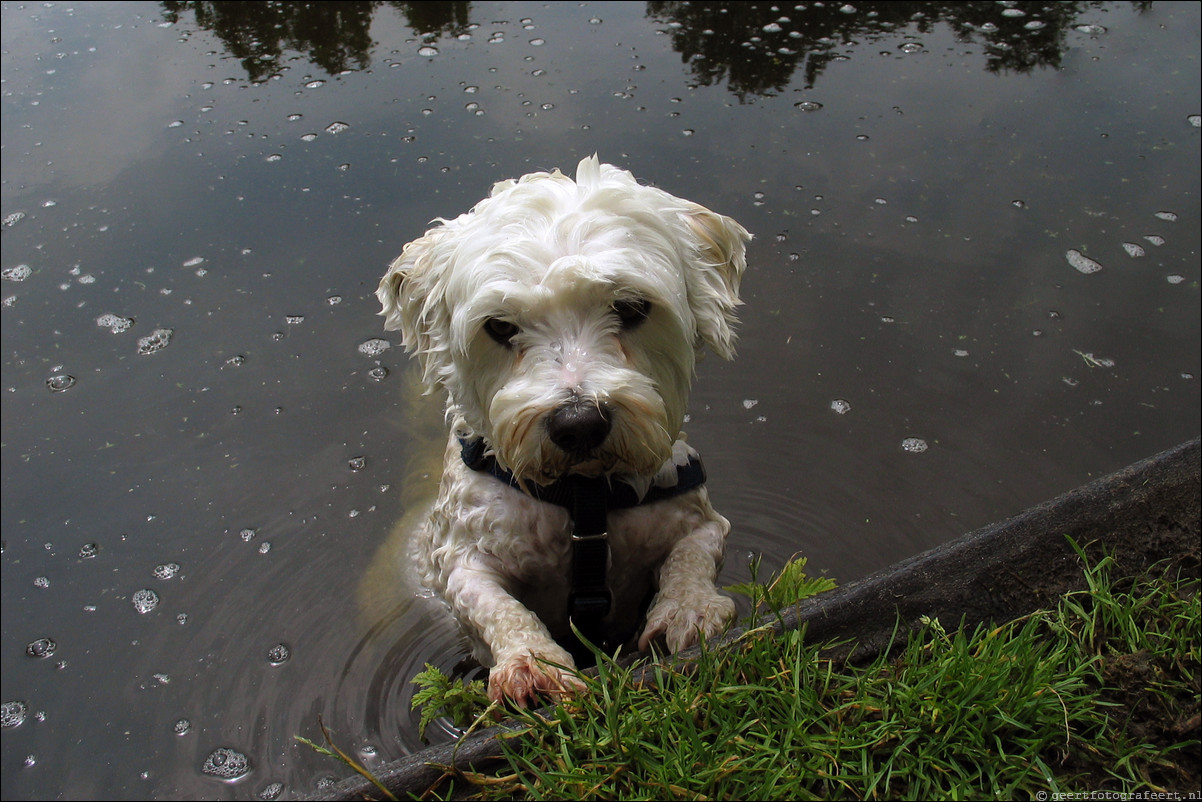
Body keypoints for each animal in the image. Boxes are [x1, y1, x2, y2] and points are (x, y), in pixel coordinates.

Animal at [377, 153, 750, 707]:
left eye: (632, 307)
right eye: (499, 326)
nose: (579, 424)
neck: (584, 496)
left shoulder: (694, 516)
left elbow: (695, 554)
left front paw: (689, 609)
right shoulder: (460, 556)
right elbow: (490, 602)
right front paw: (531, 661)